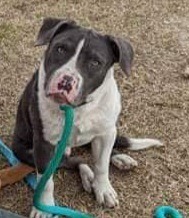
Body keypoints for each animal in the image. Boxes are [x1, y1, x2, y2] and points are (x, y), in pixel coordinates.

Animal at [11, 17, 162, 217]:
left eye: (95, 62)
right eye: (60, 49)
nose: (66, 81)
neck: (78, 108)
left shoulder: (105, 134)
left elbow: (102, 165)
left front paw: (103, 189)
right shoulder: (43, 144)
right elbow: (46, 181)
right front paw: (43, 206)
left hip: (108, 133)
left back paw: (119, 159)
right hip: (24, 150)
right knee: (75, 161)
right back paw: (87, 175)